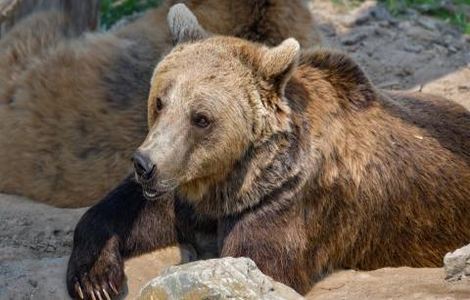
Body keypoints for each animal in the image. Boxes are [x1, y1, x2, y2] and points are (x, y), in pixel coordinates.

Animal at [66, 4, 470, 300]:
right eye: (160, 101)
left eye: (201, 118)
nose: (144, 164)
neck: (233, 178)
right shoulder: (188, 185)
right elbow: (129, 210)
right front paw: (94, 279)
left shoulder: (287, 202)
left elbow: (257, 263)